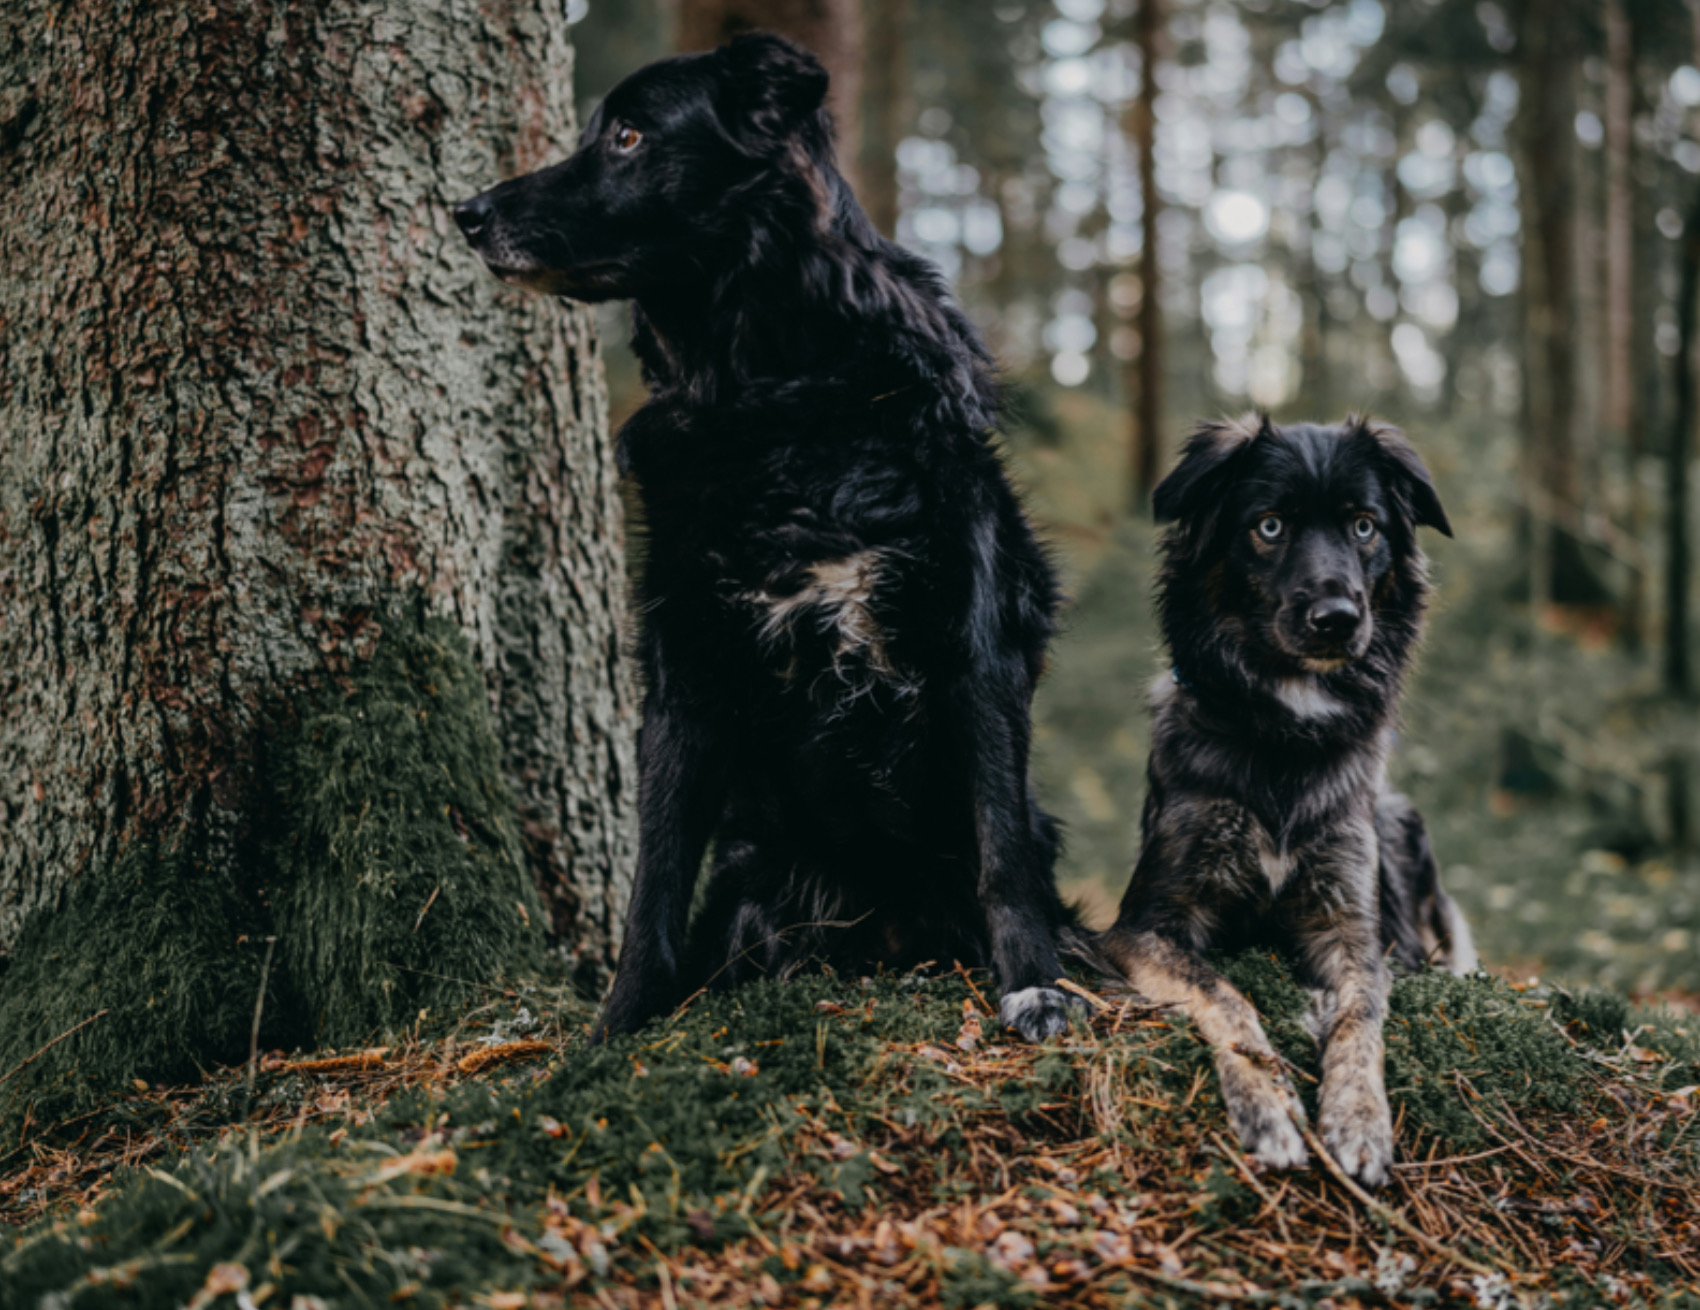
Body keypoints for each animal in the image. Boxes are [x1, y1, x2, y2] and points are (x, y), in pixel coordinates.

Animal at [452, 33, 1074, 1046]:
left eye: (628, 135)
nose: (466, 213)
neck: (773, 396)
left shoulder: (971, 644)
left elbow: (1000, 849)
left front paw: (1034, 985)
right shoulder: (682, 665)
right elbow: (655, 876)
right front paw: (619, 1024)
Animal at [1088, 417, 1475, 1189]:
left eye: (1363, 526)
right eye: (1269, 526)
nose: (1337, 618)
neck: (1285, 736)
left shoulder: (1353, 931)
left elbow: (1361, 1018)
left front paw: (1358, 1118)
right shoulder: (1145, 925)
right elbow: (1222, 993)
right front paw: (1269, 1106)